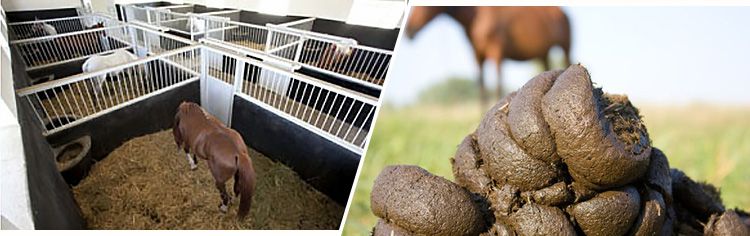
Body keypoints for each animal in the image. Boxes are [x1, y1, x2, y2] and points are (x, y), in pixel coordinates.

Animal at [408, 6, 572, 107]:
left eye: (421, 6)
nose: (408, 30)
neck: (476, 17)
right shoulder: (477, 56)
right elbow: (481, 87)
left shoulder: (496, 51)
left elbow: (498, 85)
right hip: (543, 53)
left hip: (565, 47)